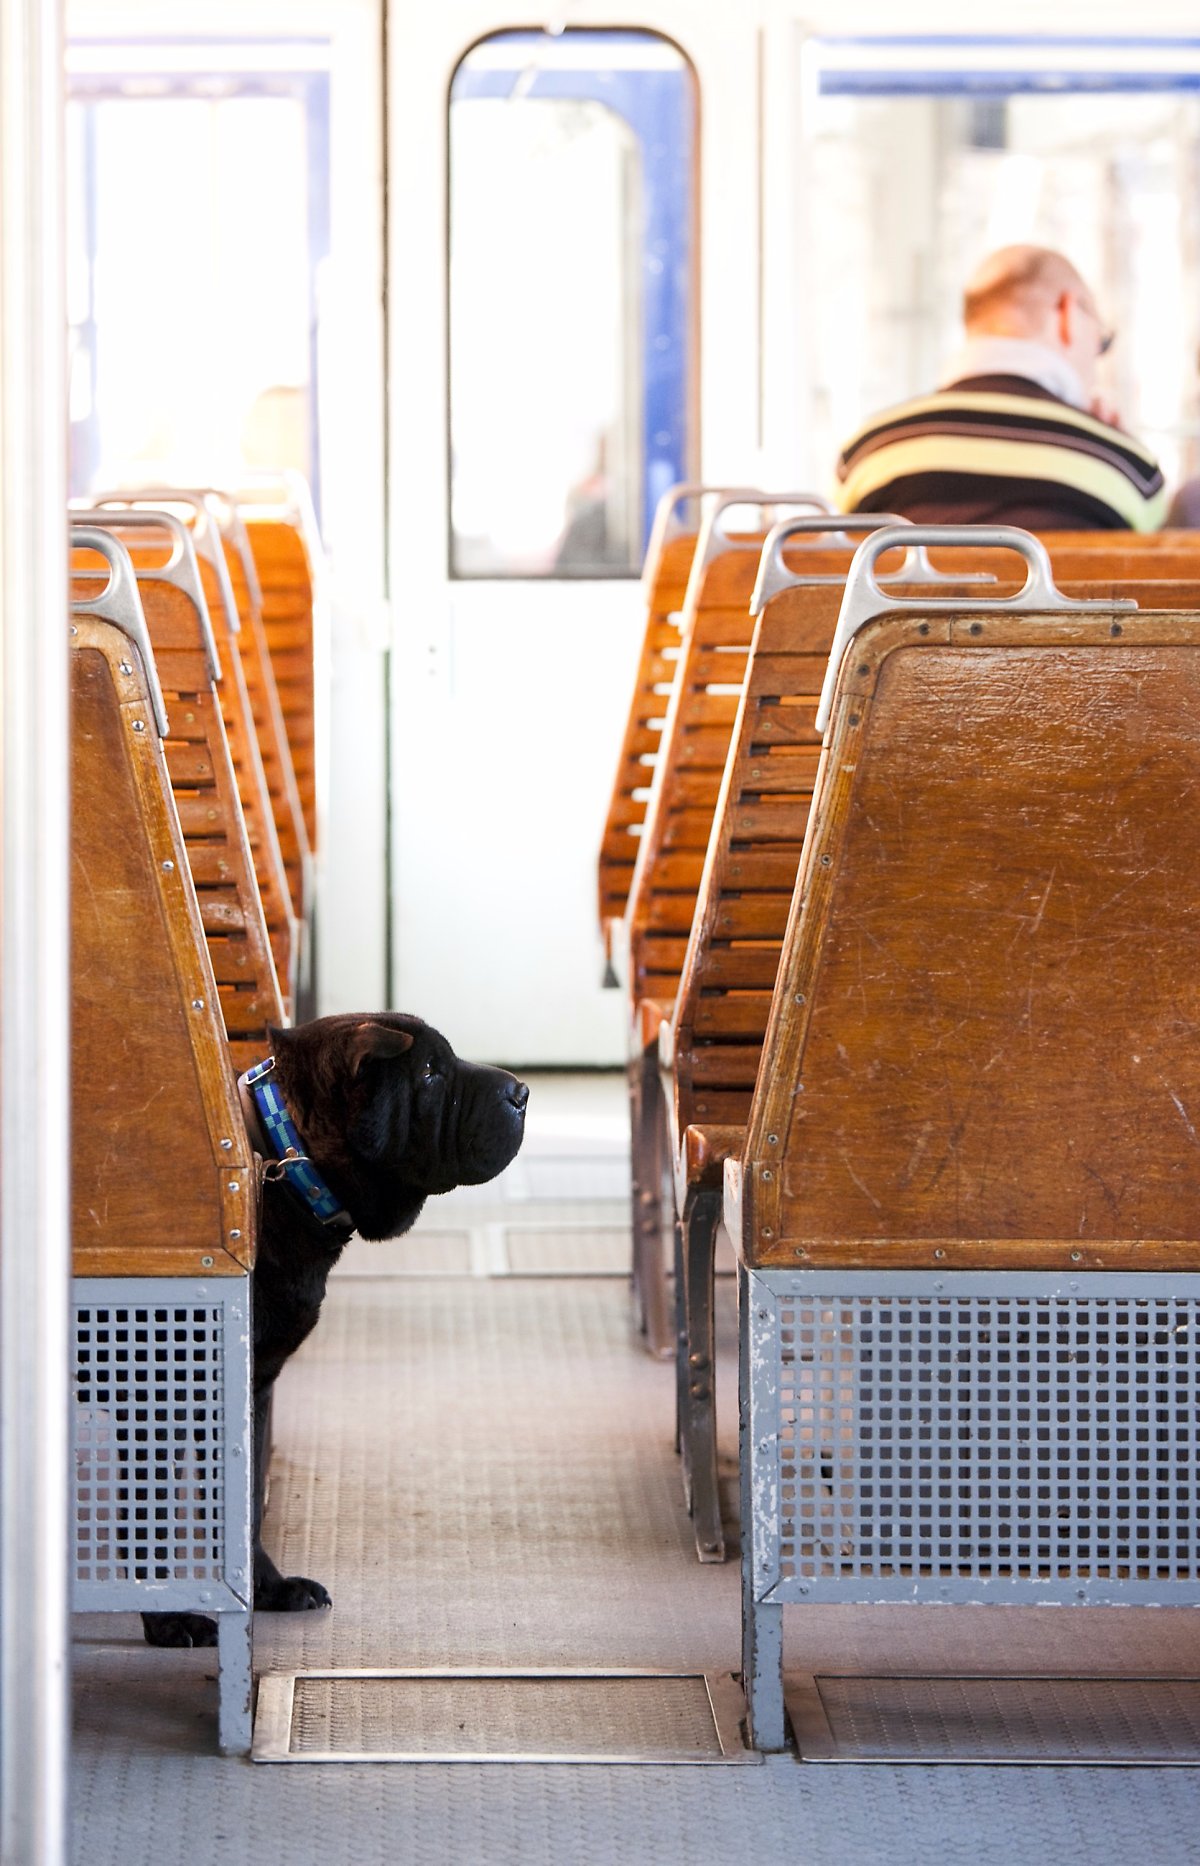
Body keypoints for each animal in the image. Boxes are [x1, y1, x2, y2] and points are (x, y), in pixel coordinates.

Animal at [142, 1015, 530, 1642]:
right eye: (428, 1072)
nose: (522, 1093)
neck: (286, 1165)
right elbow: (146, 1512)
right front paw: (168, 1617)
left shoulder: (254, 1387)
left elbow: (248, 1498)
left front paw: (269, 1588)